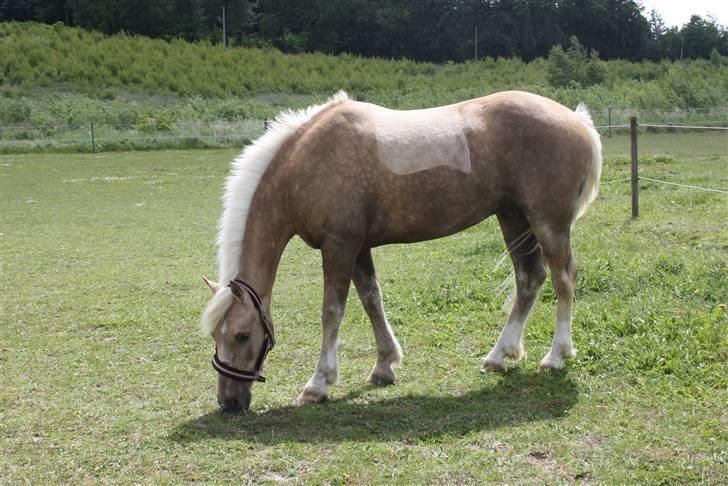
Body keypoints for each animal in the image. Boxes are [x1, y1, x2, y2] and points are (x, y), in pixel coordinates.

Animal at [200, 90, 604, 410]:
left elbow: (332, 312)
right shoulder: (358, 248)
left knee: (563, 279)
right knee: (529, 279)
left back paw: (556, 356)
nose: (229, 402)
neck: (307, 163)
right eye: (216, 336)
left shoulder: (339, 247)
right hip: (514, 218)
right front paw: (384, 365)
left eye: (242, 335)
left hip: (548, 223)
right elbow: (371, 301)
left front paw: (319, 383)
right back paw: (499, 356)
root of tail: (579, 122)